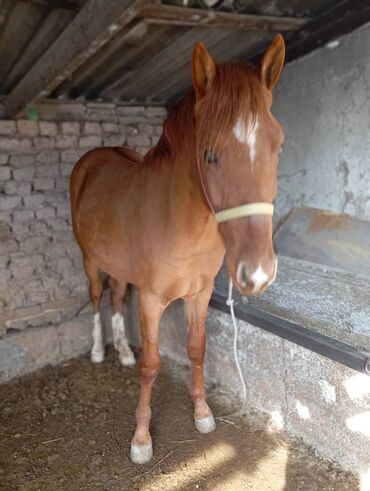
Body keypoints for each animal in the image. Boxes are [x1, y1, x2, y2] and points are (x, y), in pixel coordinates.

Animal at [71, 34, 286, 466]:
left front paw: (202, 413)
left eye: (278, 146)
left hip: (120, 267)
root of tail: (93, 157)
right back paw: (100, 351)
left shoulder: (199, 294)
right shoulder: (152, 300)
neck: (185, 228)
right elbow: (151, 365)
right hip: (89, 260)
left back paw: (122, 351)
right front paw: (140, 439)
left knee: (117, 295)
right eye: (210, 154)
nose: (257, 273)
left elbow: (197, 349)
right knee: (98, 295)